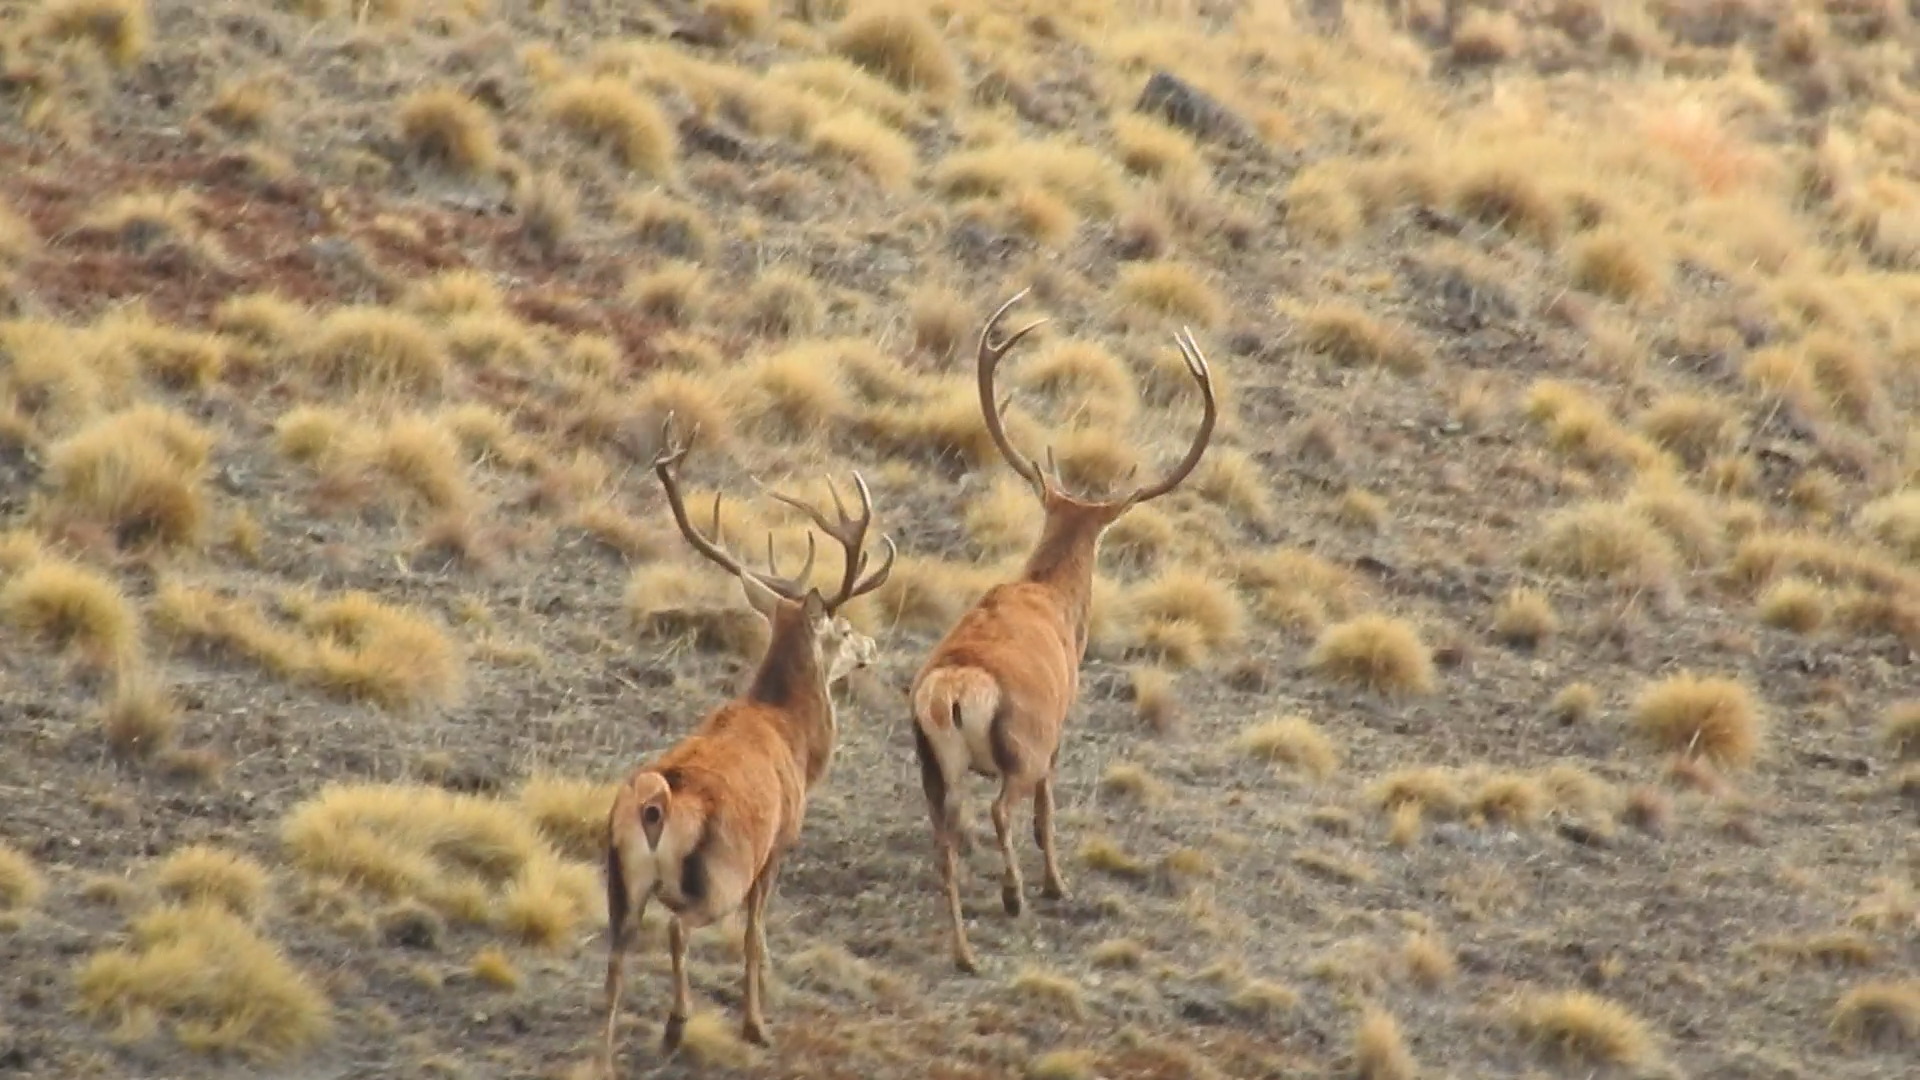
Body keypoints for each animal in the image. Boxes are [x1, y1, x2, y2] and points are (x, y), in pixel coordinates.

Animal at [595, 411, 894, 1068]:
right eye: (842, 628)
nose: (870, 647)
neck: (792, 738)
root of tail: (655, 803)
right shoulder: (777, 844)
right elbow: (757, 935)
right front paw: (758, 1025)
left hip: (618, 882)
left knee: (613, 966)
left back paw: (602, 1058)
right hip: (717, 872)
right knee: (679, 927)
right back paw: (676, 1024)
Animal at [902, 284, 1205, 968]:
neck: (1055, 602)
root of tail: (952, 692)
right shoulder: (1061, 724)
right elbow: (1047, 811)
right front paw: (1055, 883)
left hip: (931, 763)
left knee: (945, 839)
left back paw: (964, 952)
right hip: (1022, 744)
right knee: (1001, 809)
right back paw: (1014, 895)